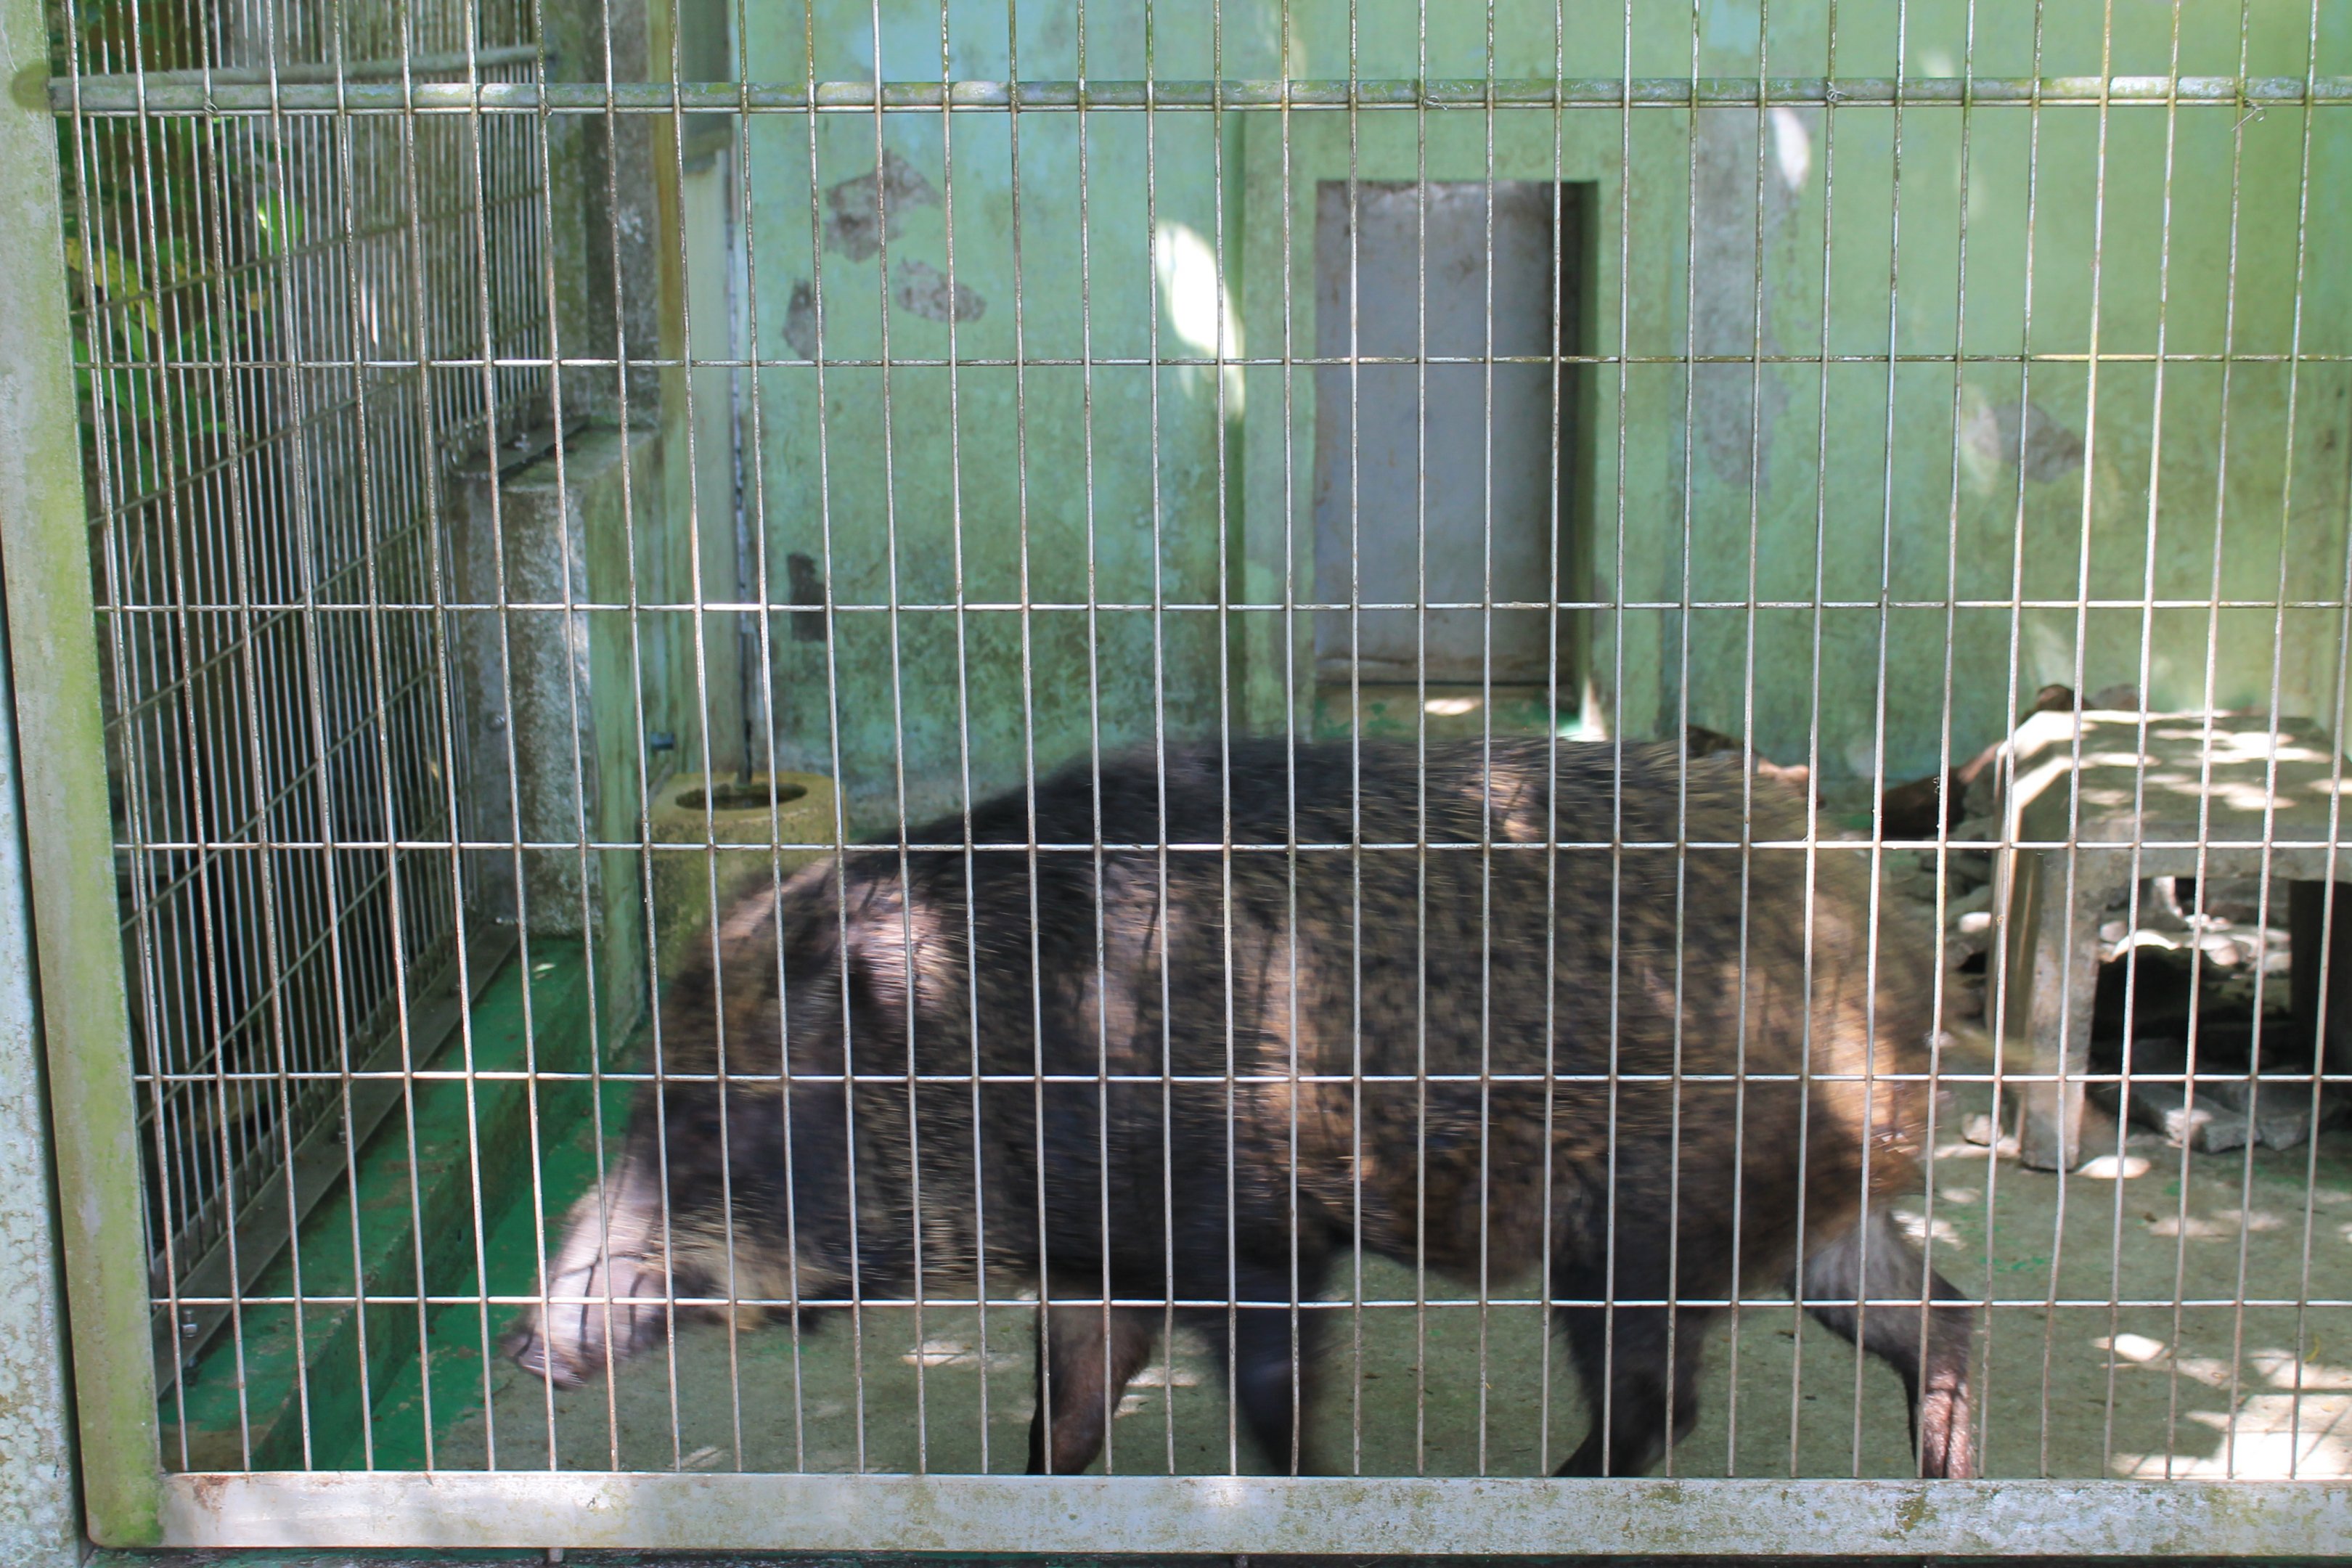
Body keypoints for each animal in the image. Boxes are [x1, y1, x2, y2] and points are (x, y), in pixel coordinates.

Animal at [505, 737, 1974, 1479]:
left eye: (712, 1114)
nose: (527, 1347)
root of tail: (1893, 944)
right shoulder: (1099, 1262)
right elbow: (1060, 1417)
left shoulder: (1258, 1236)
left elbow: (1273, 1415)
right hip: (1800, 1215)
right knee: (1939, 1310)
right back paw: (1940, 1478)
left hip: (1637, 1231)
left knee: (1661, 1407)